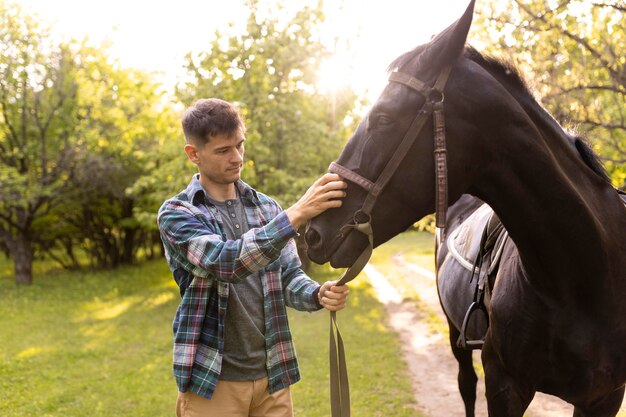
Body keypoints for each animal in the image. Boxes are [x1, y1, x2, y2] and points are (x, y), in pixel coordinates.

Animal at [304, 1, 624, 414]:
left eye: (384, 117)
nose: (312, 230)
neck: (583, 277)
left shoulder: (604, 397)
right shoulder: (504, 385)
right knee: (466, 384)